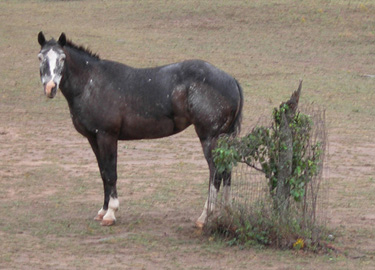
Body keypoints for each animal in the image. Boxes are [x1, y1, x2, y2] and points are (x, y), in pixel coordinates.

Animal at [37, 32, 244, 228]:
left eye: (62, 58)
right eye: (40, 57)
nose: (50, 88)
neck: (91, 82)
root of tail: (231, 80)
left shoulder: (107, 136)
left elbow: (111, 173)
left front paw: (111, 213)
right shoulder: (93, 139)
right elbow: (103, 172)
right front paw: (103, 211)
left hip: (210, 138)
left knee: (216, 172)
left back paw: (204, 217)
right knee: (226, 171)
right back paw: (226, 211)